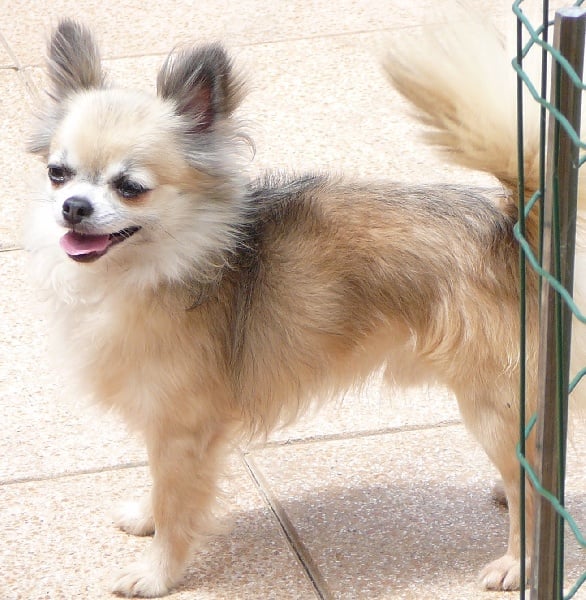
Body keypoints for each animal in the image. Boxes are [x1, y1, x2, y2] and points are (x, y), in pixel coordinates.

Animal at [25, 16, 585, 598]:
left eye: (130, 187)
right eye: (57, 174)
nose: (73, 207)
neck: (162, 260)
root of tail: (511, 232)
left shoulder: (183, 429)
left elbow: (177, 503)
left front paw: (157, 572)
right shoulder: (165, 427)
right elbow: (160, 488)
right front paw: (146, 514)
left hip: (491, 405)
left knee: (529, 490)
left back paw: (519, 563)